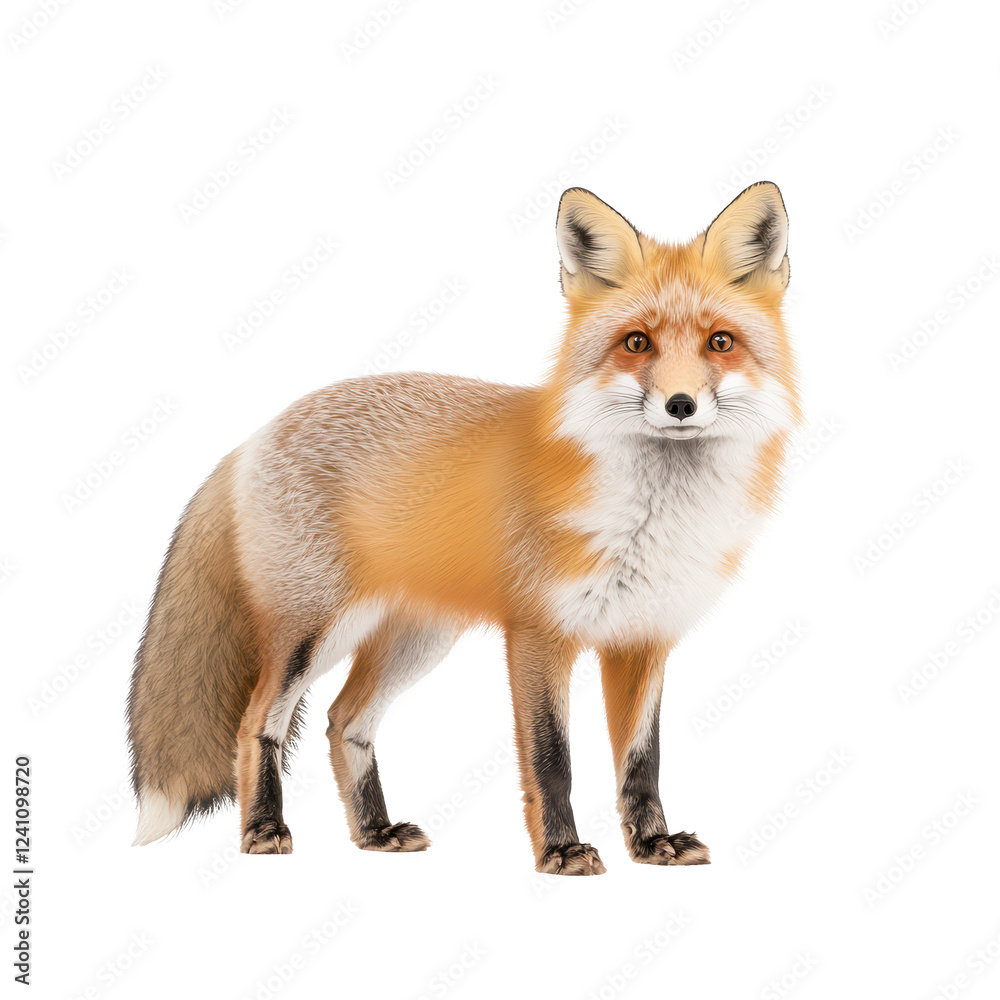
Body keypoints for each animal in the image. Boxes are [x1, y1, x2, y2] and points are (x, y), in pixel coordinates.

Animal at [127, 181, 801, 874]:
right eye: (637, 343)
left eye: (720, 343)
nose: (680, 405)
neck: (649, 520)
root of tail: (254, 436)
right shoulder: (537, 634)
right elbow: (552, 759)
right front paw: (561, 851)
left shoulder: (643, 638)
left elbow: (643, 763)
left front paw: (650, 844)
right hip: (312, 631)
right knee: (259, 721)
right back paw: (263, 830)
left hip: (417, 639)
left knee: (344, 721)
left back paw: (375, 831)